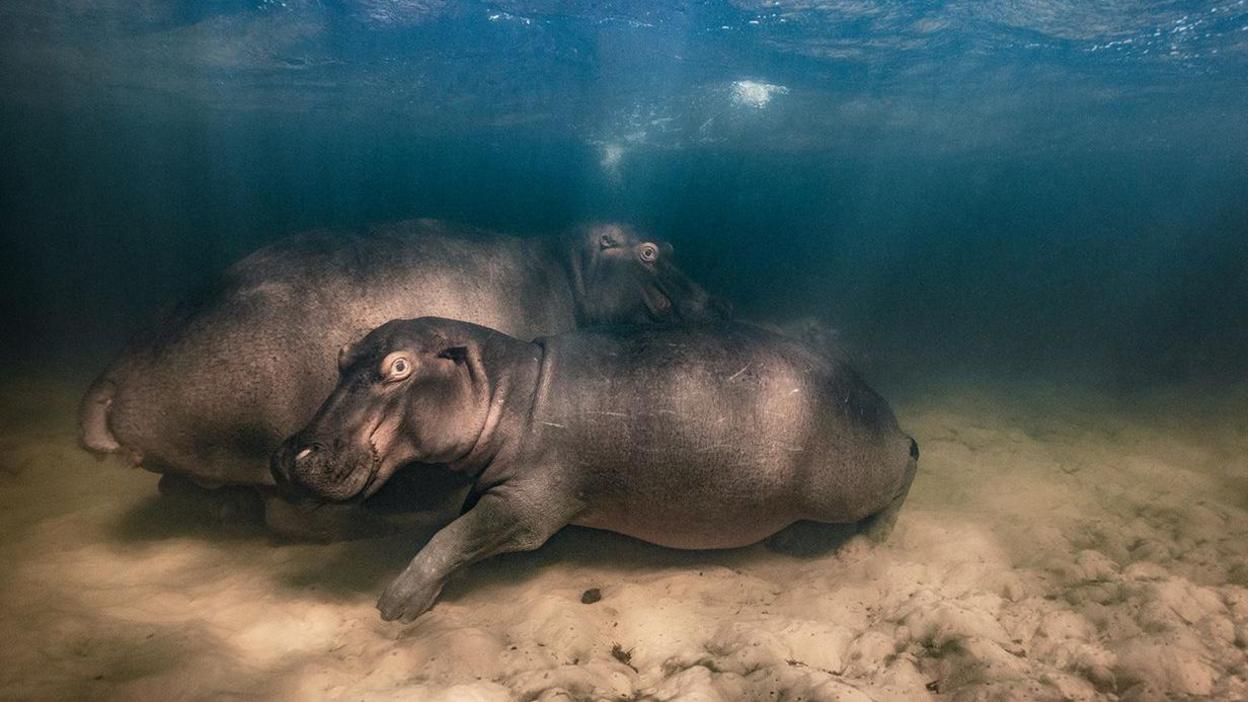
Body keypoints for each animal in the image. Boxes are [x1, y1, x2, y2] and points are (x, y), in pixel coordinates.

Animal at [78, 218, 723, 529]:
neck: (568, 270)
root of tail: (111, 381)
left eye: (670, 245)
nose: (721, 307)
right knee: (294, 517)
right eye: (650, 250)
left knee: (185, 487)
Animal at [273, 317, 918, 617]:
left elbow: (454, 537)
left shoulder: (529, 506)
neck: (509, 390)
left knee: (907, 466)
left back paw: (866, 537)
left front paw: (397, 604)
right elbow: (456, 523)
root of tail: (883, 408)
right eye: (340, 356)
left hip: (849, 484)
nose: (289, 454)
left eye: (400, 367)